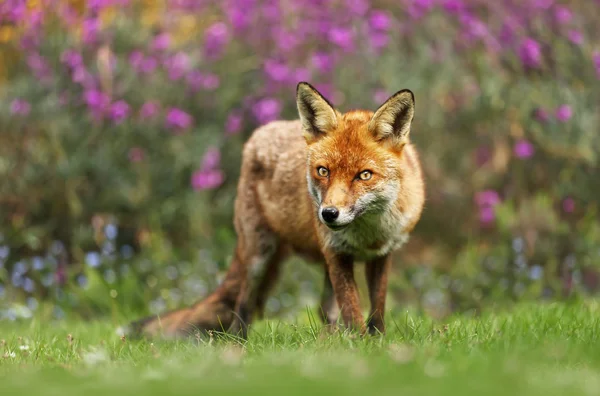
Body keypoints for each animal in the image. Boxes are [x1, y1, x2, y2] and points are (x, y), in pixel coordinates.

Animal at [129, 82, 424, 338]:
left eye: (364, 175)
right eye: (323, 171)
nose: (328, 214)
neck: (367, 235)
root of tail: (259, 133)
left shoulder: (381, 254)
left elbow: (377, 310)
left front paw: (377, 344)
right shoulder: (336, 252)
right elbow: (352, 311)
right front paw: (362, 345)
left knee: (323, 310)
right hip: (260, 254)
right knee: (243, 305)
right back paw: (238, 345)